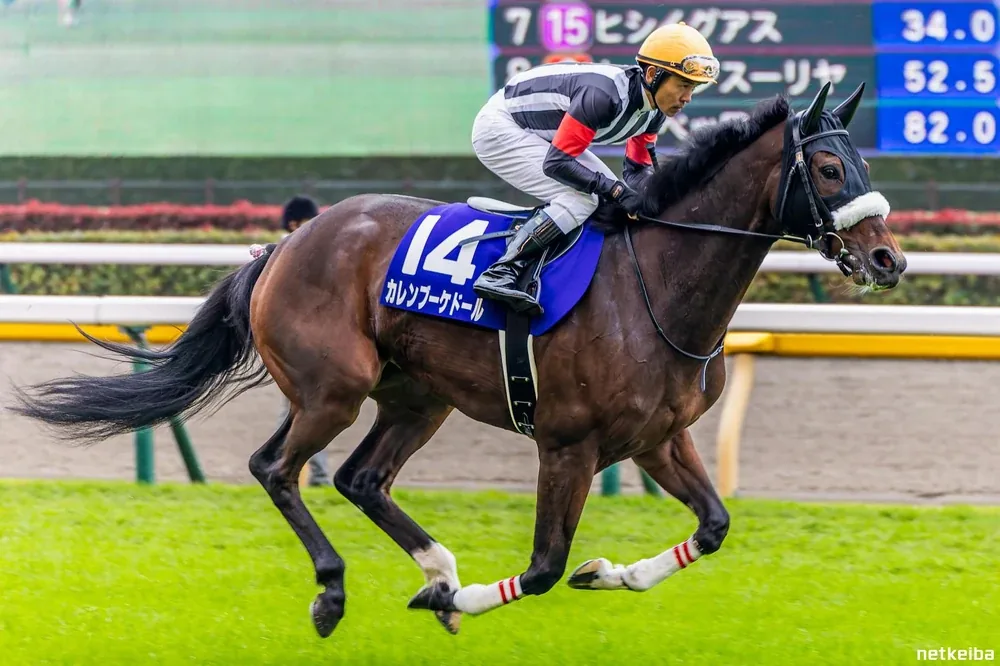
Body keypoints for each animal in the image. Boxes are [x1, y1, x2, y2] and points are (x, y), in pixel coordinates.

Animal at [10, 81, 906, 638]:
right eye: (829, 166)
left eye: (865, 163)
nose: (889, 259)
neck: (654, 281)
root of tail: (286, 243)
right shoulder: (567, 445)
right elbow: (541, 569)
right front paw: (476, 592)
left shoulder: (658, 437)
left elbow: (714, 527)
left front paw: (603, 574)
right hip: (333, 389)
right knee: (278, 468)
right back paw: (337, 590)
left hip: (417, 396)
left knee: (361, 477)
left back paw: (436, 571)